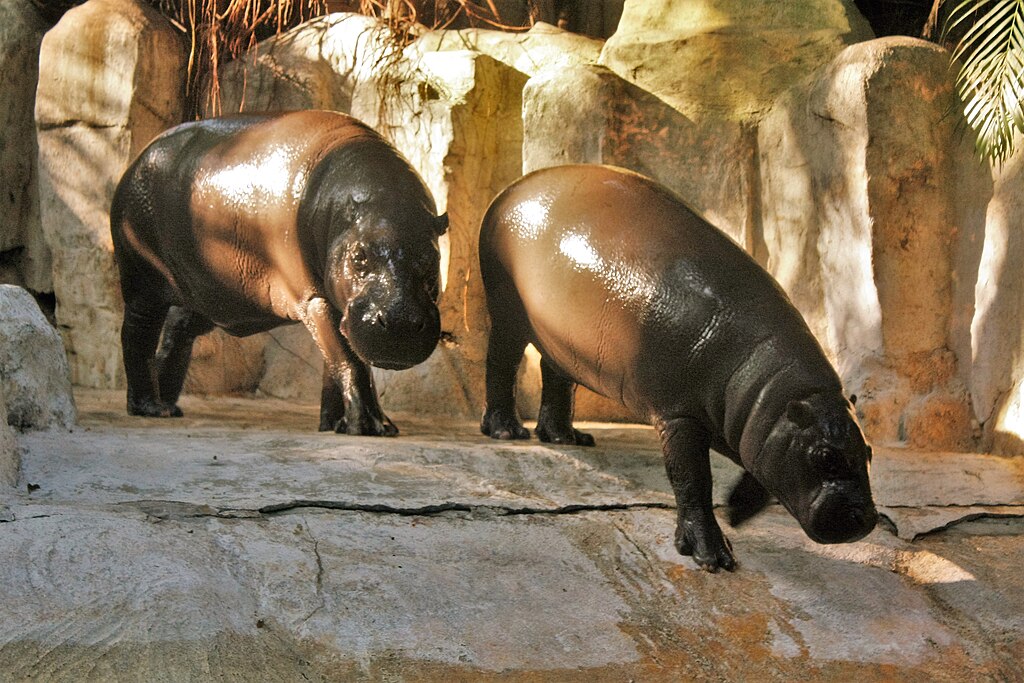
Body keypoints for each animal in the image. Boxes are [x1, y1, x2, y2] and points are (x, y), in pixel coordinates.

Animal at [110, 111, 447, 436]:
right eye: (359, 255)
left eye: (433, 257)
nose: (401, 322)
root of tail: (138, 159)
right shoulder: (315, 298)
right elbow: (349, 360)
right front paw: (371, 427)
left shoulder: (339, 307)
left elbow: (335, 361)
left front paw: (334, 424)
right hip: (142, 280)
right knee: (137, 333)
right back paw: (149, 408)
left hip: (207, 295)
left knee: (177, 332)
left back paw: (170, 406)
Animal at [479, 165, 877, 572]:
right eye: (825, 457)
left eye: (869, 451)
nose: (867, 519)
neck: (772, 387)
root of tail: (513, 187)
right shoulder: (679, 415)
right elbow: (692, 479)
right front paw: (714, 557)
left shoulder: (763, 426)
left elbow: (756, 471)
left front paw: (737, 513)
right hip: (507, 307)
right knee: (501, 363)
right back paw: (507, 431)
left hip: (562, 341)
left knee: (556, 375)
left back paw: (567, 438)